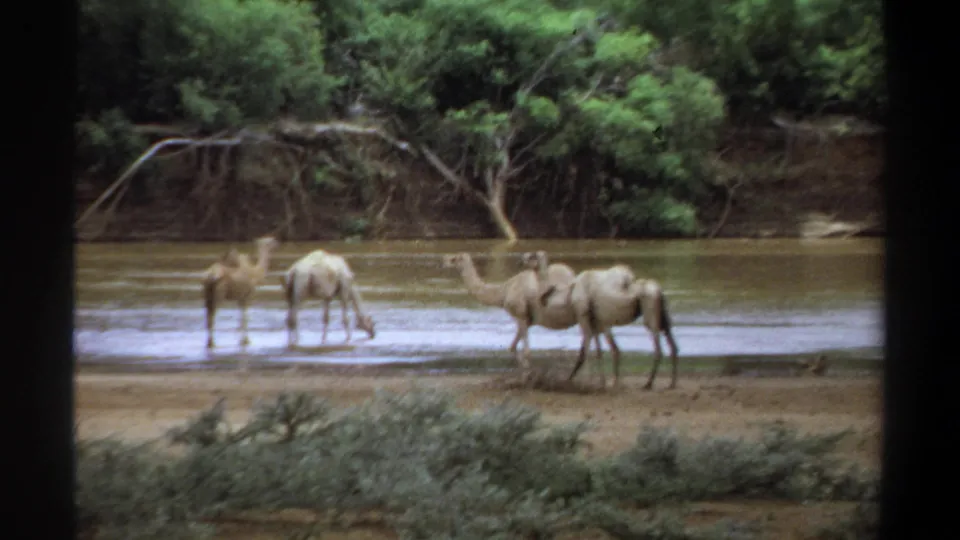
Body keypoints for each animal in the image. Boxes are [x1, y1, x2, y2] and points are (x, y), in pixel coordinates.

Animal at [442, 252, 577, 374]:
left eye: (454, 259)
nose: (444, 261)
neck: (503, 292)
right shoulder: (528, 320)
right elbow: (512, 347)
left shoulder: (520, 315)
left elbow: (525, 351)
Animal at [534, 259, 680, 390]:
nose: (541, 298)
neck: (569, 293)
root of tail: (658, 291)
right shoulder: (599, 323)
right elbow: (605, 350)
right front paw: (608, 382)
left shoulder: (584, 316)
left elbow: (584, 352)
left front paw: (569, 381)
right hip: (663, 319)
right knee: (673, 345)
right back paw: (671, 383)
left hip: (650, 315)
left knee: (658, 349)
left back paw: (648, 383)